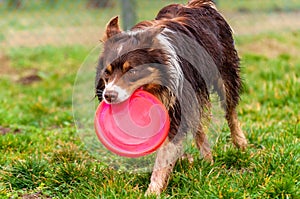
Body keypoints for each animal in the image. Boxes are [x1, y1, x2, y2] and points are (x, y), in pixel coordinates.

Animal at [95, 0, 247, 195]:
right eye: (107, 72)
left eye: (132, 71)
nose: (109, 96)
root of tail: (198, 4)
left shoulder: (178, 104)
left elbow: (165, 153)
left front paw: (152, 192)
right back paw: (207, 159)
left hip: (224, 74)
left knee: (230, 111)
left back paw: (241, 144)